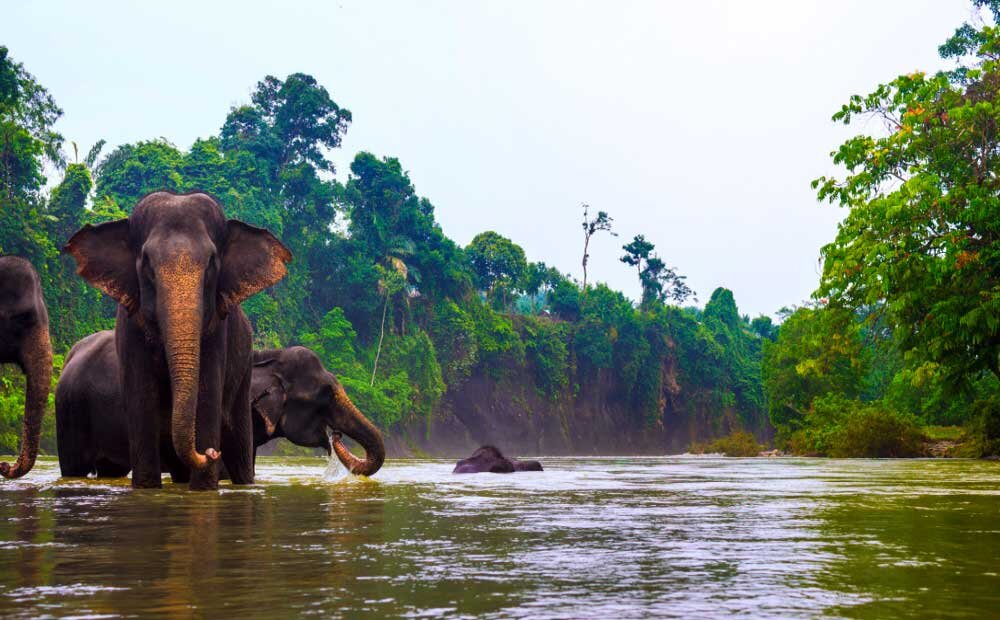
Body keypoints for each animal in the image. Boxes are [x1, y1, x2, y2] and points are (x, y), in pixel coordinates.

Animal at [65, 190, 292, 490]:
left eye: (212, 263)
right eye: (147, 264)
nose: (211, 452)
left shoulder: (217, 329)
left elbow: (206, 398)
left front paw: (204, 489)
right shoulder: (130, 328)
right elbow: (141, 399)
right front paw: (147, 489)